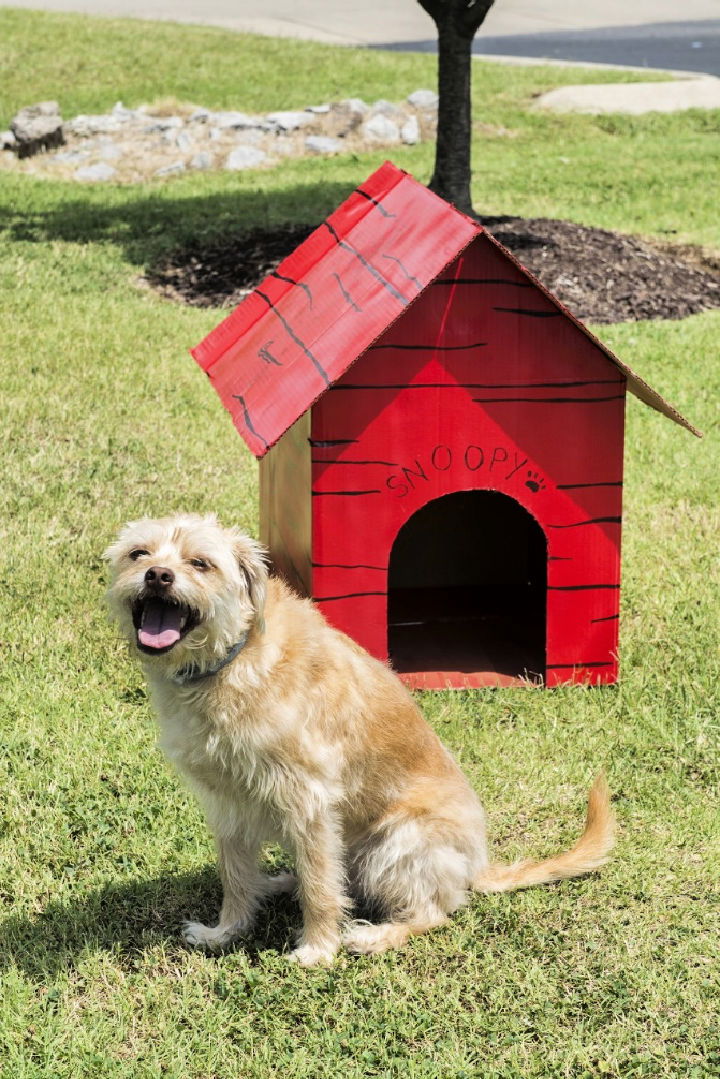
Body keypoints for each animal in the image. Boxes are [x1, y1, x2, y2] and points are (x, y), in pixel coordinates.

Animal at [104, 509, 617, 966]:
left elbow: (319, 887)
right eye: (138, 553)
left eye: (200, 563)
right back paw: (278, 882)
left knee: (429, 912)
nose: (157, 576)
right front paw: (225, 932)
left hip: (395, 844)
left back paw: (377, 935)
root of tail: (476, 866)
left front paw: (318, 949)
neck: (232, 661)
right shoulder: (227, 802)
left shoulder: (307, 800)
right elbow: (236, 876)